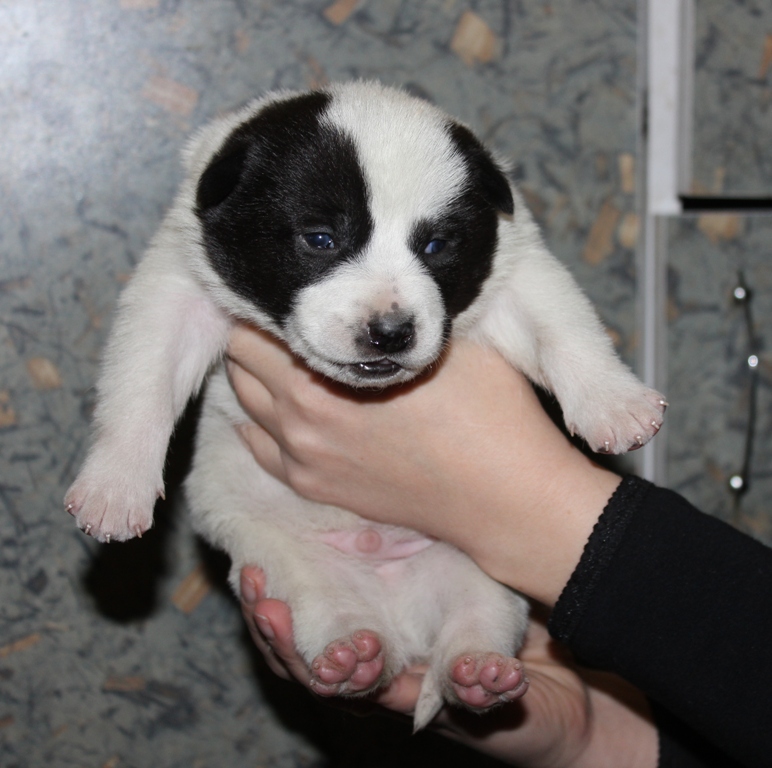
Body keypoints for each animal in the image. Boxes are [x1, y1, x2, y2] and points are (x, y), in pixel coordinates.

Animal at [65, 81, 665, 730]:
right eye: (321, 238)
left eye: (436, 244)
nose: (391, 332)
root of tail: (404, 628)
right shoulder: (176, 286)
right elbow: (143, 378)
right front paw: (114, 488)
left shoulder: (519, 269)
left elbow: (563, 326)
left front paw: (616, 404)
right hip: (289, 566)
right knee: (328, 609)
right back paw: (351, 656)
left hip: (482, 572)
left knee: (477, 621)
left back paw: (478, 672)